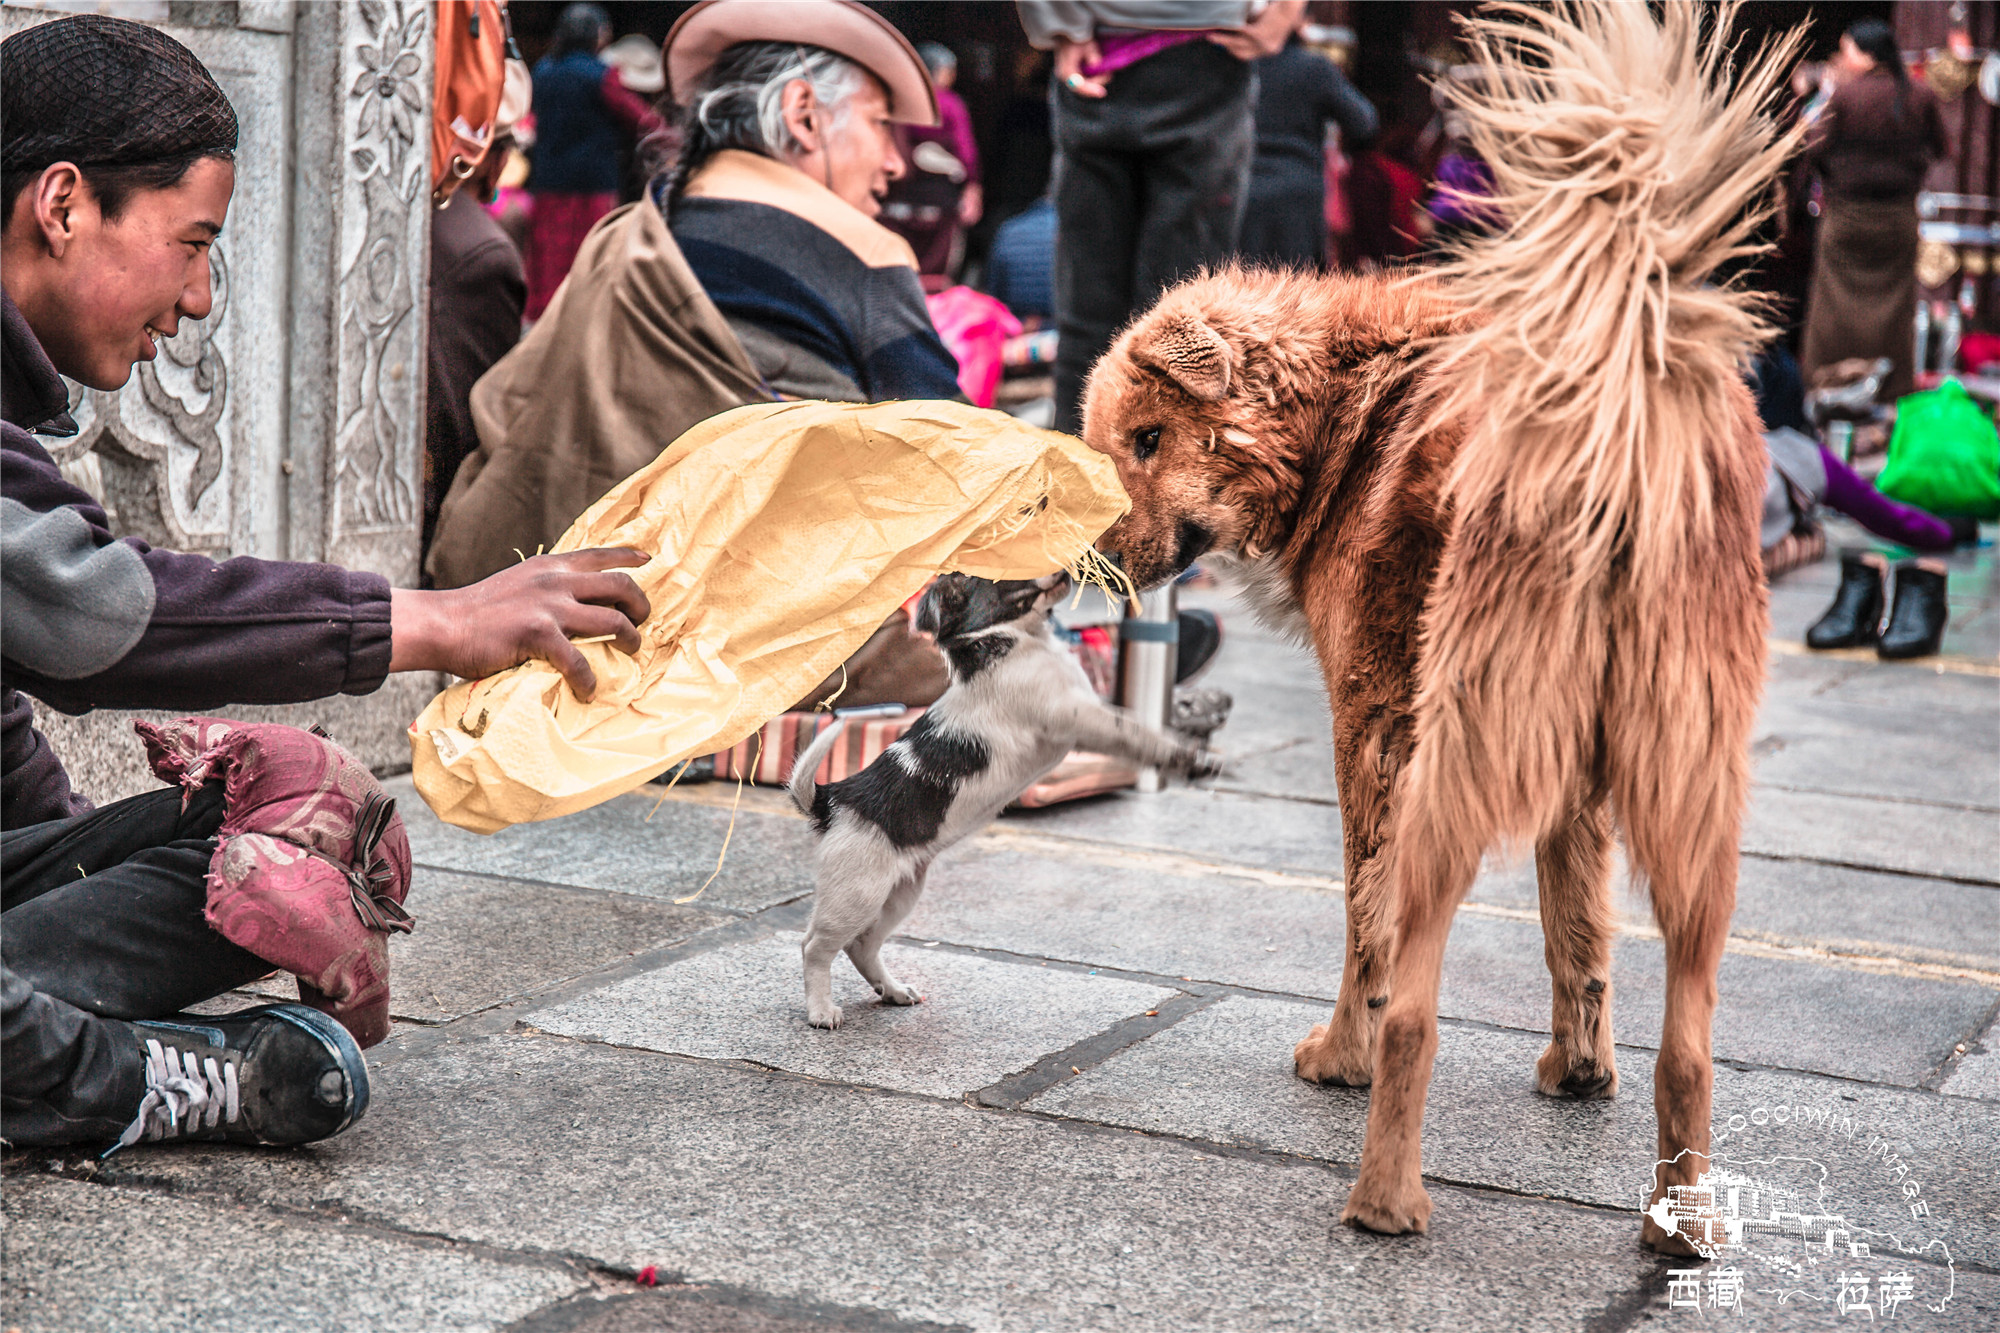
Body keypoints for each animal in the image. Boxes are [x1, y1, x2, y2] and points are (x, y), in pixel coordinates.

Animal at [784, 572, 1216, 1024]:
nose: (1067, 569)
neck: (1018, 638)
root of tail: (830, 800)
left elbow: (1135, 729)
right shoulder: (1074, 714)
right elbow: (1136, 732)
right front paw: (1189, 758)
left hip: (898, 894)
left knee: (861, 944)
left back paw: (893, 990)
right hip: (857, 893)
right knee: (815, 947)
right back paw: (821, 1010)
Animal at [1080, 2, 1800, 1248]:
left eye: (1146, 440)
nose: (1093, 569)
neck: (1336, 410)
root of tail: (1612, 416)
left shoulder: (1371, 729)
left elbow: (1362, 930)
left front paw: (1339, 1053)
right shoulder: (1577, 781)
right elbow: (1578, 933)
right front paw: (1577, 1071)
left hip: (1449, 773)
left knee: (1415, 1003)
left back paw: (1382, 1198)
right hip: (1691, 798)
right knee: (1689, 1043)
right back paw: (1675, 1223)